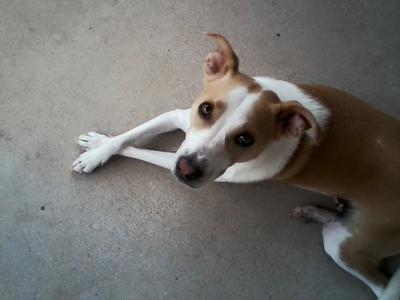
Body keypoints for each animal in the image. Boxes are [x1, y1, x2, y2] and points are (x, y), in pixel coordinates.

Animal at [72, 34, 400, 298]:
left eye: (245, 139)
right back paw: (316, 211)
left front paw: (97, 150)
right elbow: (131, 136)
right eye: (205, 109)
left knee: (381, 285)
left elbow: (140, 150)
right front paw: (100, 147)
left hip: (344, 246)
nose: (187, 171)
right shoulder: (179, 117)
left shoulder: (208, 169)